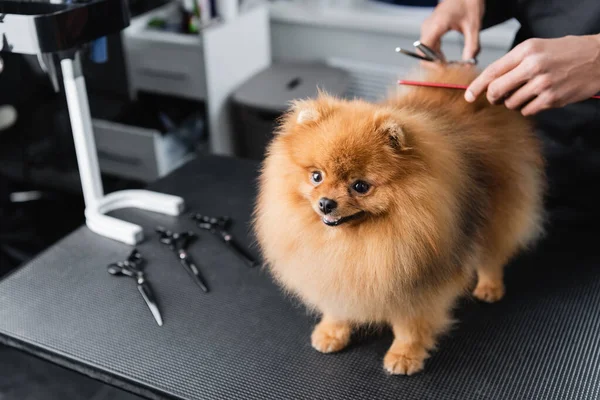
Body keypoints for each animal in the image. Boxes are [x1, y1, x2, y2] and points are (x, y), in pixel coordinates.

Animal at [251, 65, 548, 376]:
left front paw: (405, 355)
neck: (357, 240)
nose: (325, 203)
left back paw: (490, 286)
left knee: (492, 252)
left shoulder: (417, 282)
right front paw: (332, 332)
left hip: (499, 209)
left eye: (360, 186)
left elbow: (410, 325)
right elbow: (337, 304)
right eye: (316, 176)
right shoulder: (336, 274)